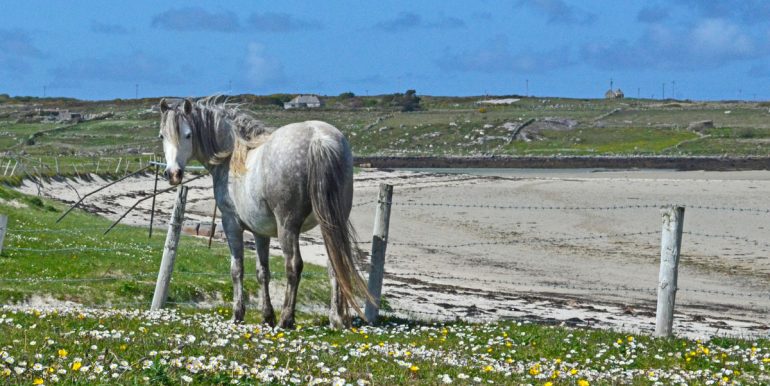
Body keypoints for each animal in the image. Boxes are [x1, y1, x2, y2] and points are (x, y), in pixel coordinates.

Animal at [158, 97, 368, 328]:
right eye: (162, 136)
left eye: (188, 134)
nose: (173, 174)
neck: (233, 156)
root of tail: (317, 138)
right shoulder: (261, 233)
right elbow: (262, 272)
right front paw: (266, 316)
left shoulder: (231, 224)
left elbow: (237, 269)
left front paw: (238, 314)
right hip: (330, 224)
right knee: (335, 265)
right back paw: (336, 319)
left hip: (288, 226)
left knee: (293, 266)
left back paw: (286, 319)